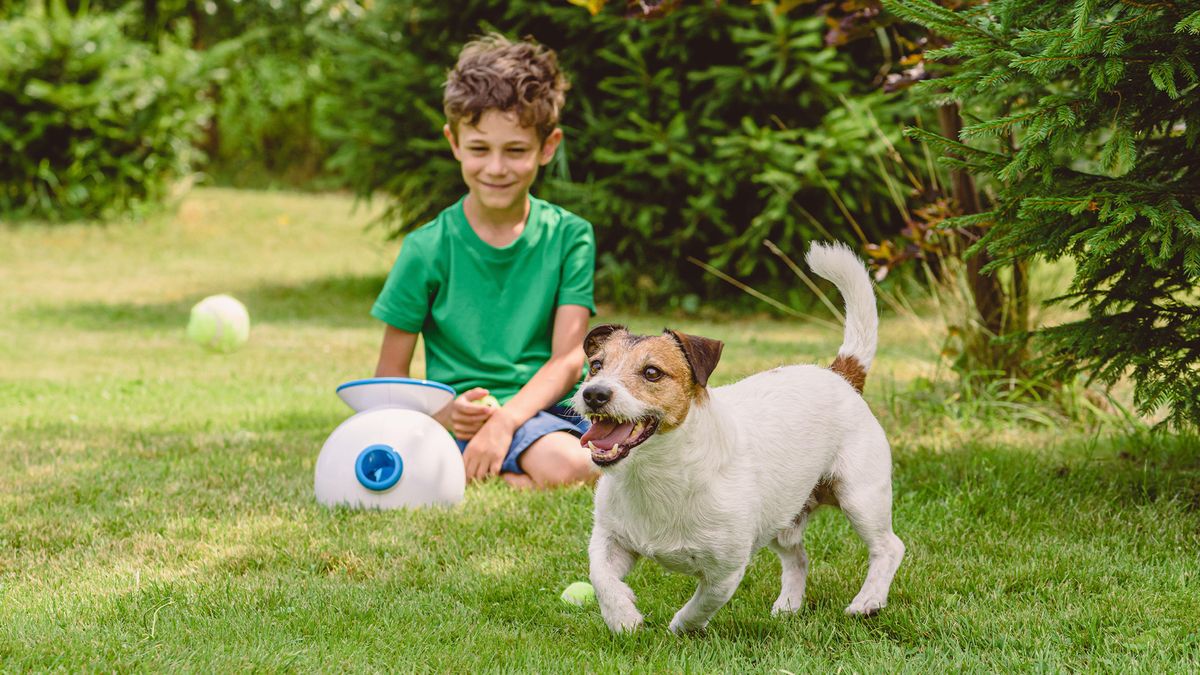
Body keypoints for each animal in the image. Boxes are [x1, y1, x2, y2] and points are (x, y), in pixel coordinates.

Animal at [576, 241, 902, 629]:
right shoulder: (609, 538)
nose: (593, 393)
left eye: (652, 372)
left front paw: (680, 629)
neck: (656, 473)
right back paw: (788, 605)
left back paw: (869, 600)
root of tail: (839, 374)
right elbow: (599, 575)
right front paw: (623, 616)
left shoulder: (726, 570)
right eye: (596, 366)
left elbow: (701, 604)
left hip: (860, 496)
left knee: (888, 547)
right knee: (798, 558)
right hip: (784, 517)